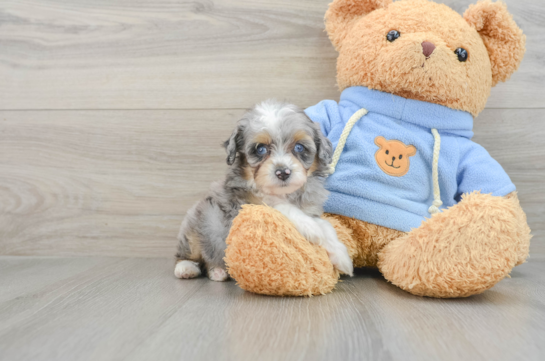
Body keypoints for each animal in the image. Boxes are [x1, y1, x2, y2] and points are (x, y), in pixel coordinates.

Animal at [174, 99, 352, 282]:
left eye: (299, 147)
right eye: (261, 149)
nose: (283, 172)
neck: (283, 193)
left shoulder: (311, 210)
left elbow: (326, 226)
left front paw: (340, 254)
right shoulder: (243, 206)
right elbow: (282, 207)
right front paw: (311, 227)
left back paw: (218, 271)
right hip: (195, 226)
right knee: (188, 254)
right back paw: (186, 268)